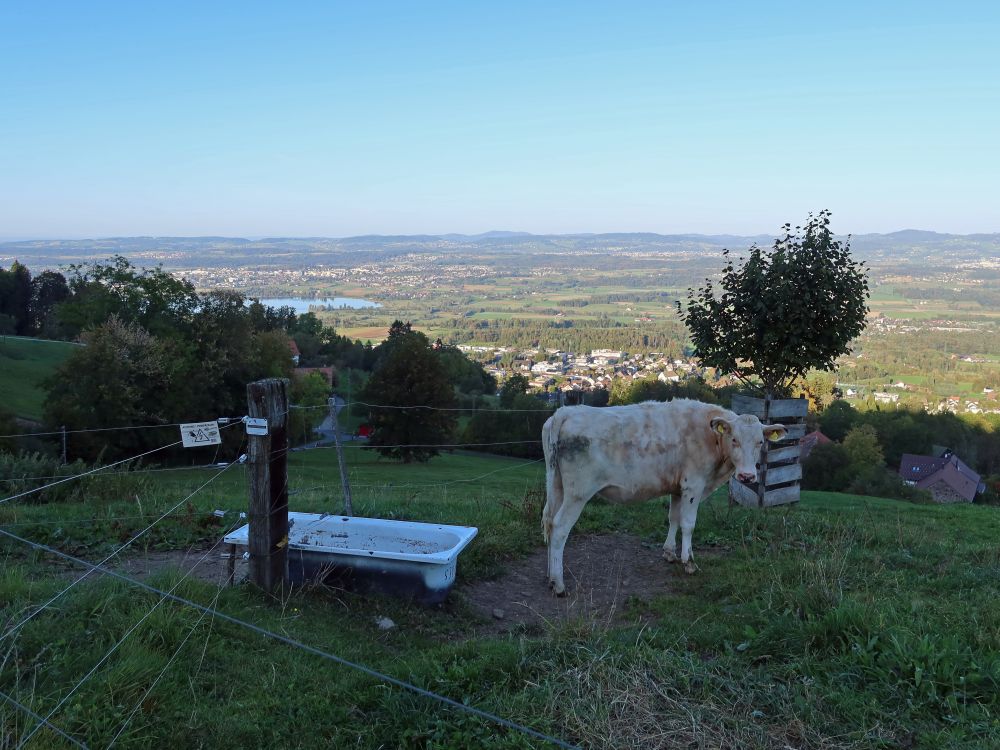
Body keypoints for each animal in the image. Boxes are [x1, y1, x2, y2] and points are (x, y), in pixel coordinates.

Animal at [544, 402, 784, 596]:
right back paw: (558, 584)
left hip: (557, 487)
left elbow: (673, 518)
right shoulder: (693, 485)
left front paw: (669, 552)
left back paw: (551, 578)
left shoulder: (678, 488)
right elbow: (688, 524)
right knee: (559, 527)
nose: (747, 476)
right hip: (578, 493)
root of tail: (565, 411)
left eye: (760, 442)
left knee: (549, 522)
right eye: (734, 439)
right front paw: (689, 561)